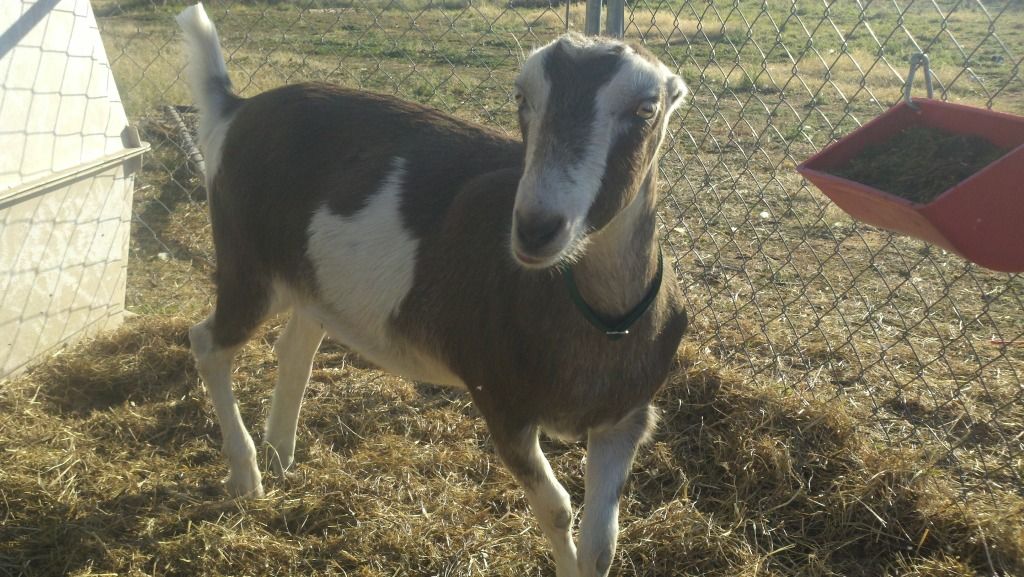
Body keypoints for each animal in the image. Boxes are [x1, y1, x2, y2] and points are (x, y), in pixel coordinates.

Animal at [177, 4, 688, 576]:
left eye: (646, 108)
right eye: (521, 97)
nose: (536, 228)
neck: (592, 314)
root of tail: (237, 110)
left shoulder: (627, 416)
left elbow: (603, 543)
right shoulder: (501, 401)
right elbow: (556, 508)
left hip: (313, 280)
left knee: (294, 347)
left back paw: (279, 454)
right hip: (248, 260)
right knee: (207, 341)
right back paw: (248, 476)